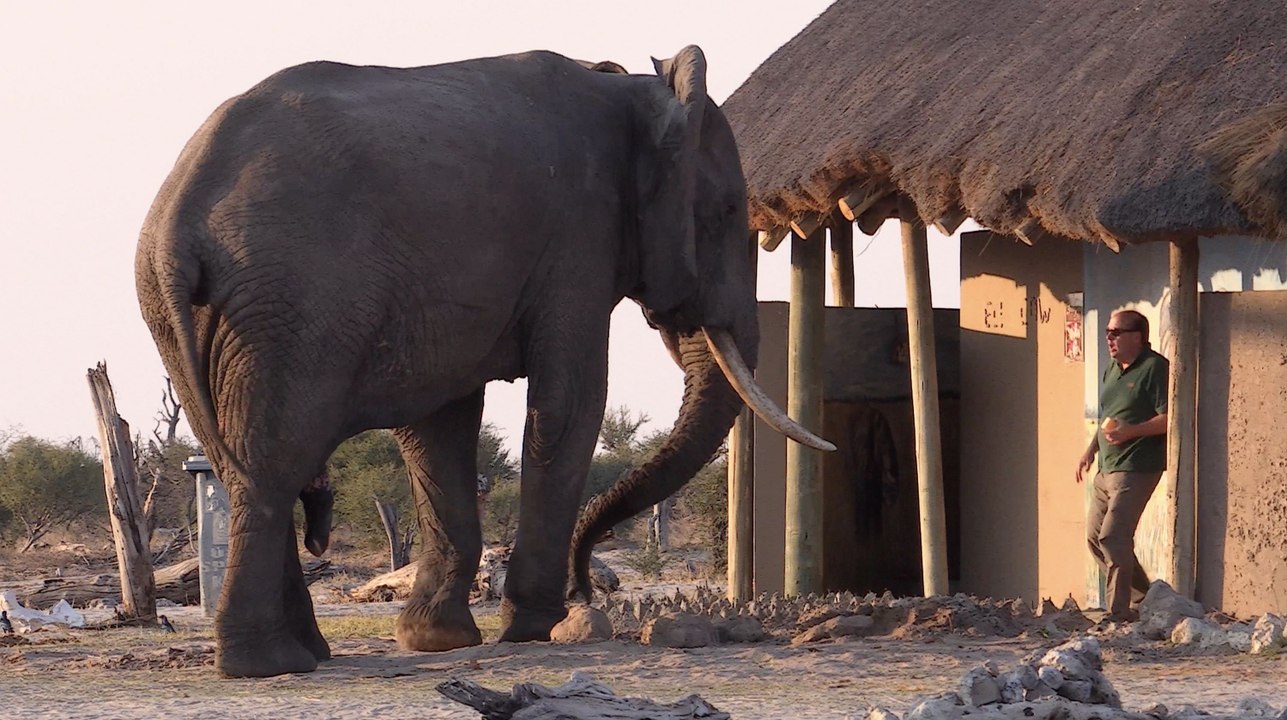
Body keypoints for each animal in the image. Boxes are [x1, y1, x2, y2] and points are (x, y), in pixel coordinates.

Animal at [135, 45, 831, 677]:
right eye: (729, 211)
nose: (588, 586)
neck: (635, 89)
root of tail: (179, 220)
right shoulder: (579, 234)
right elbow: (570, 405)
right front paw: (536, 628)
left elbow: (440, 427)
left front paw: (437, 641)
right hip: (293, 302)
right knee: (273, 463)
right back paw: (269, 664)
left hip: (191, 317)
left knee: (242, 460)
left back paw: (303, 655)